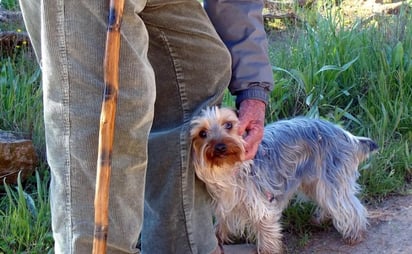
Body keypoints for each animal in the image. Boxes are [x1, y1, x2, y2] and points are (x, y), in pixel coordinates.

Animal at [190, 106, 376, 254]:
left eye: (228, 125)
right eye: (202, 133)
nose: (220, 147)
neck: (227, 169)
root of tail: (346, 135)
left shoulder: (261, 203)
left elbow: (266, 229)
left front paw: (267, 251)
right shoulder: (226, 202)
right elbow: (222, 222)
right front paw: (218, 237)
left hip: (331, 176)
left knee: (346, 204)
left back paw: (354, 233)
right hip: (313, 181)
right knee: (328, 200)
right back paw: (320, 219)